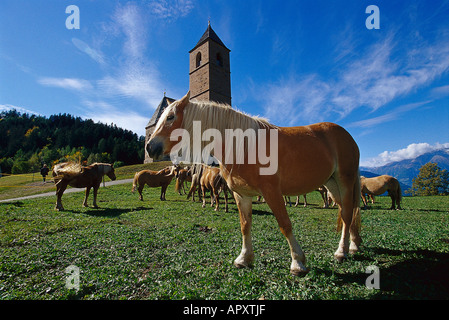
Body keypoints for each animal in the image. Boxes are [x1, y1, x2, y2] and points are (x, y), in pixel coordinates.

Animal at [147, 92, 360, 276]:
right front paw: (244, 258)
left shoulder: (272, 191)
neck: (244, 147)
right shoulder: (242, 194)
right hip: (332, 185)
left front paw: (298, 263)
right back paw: (353, 246)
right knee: (345, 212)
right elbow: (245, 225)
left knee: (347, 214)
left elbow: (285, 224)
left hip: (345, 181)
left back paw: (341, 252)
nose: (150, 147)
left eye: (170, 117)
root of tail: (346, 135)